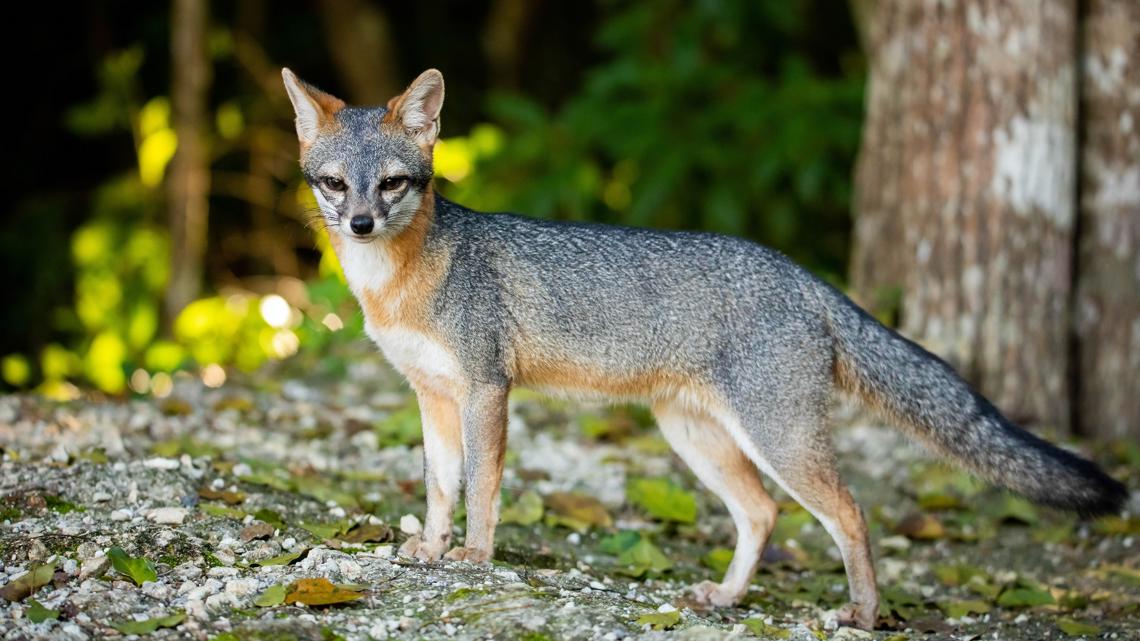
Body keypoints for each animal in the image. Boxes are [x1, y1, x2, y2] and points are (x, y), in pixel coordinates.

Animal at [281, 67, 1127, 630]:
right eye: (335, 184)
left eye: (393, 184)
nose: (359, 224)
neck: (402, 280)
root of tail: (802, 275)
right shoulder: (432, 395)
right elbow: (439, 486)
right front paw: (430, 546)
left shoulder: (487, 388)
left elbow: (483, 489)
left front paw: (476, 556)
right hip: (695, 436)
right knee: (761, 513)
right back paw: (727, 596)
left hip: (778, 438)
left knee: (850, 512)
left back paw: (861, 611)